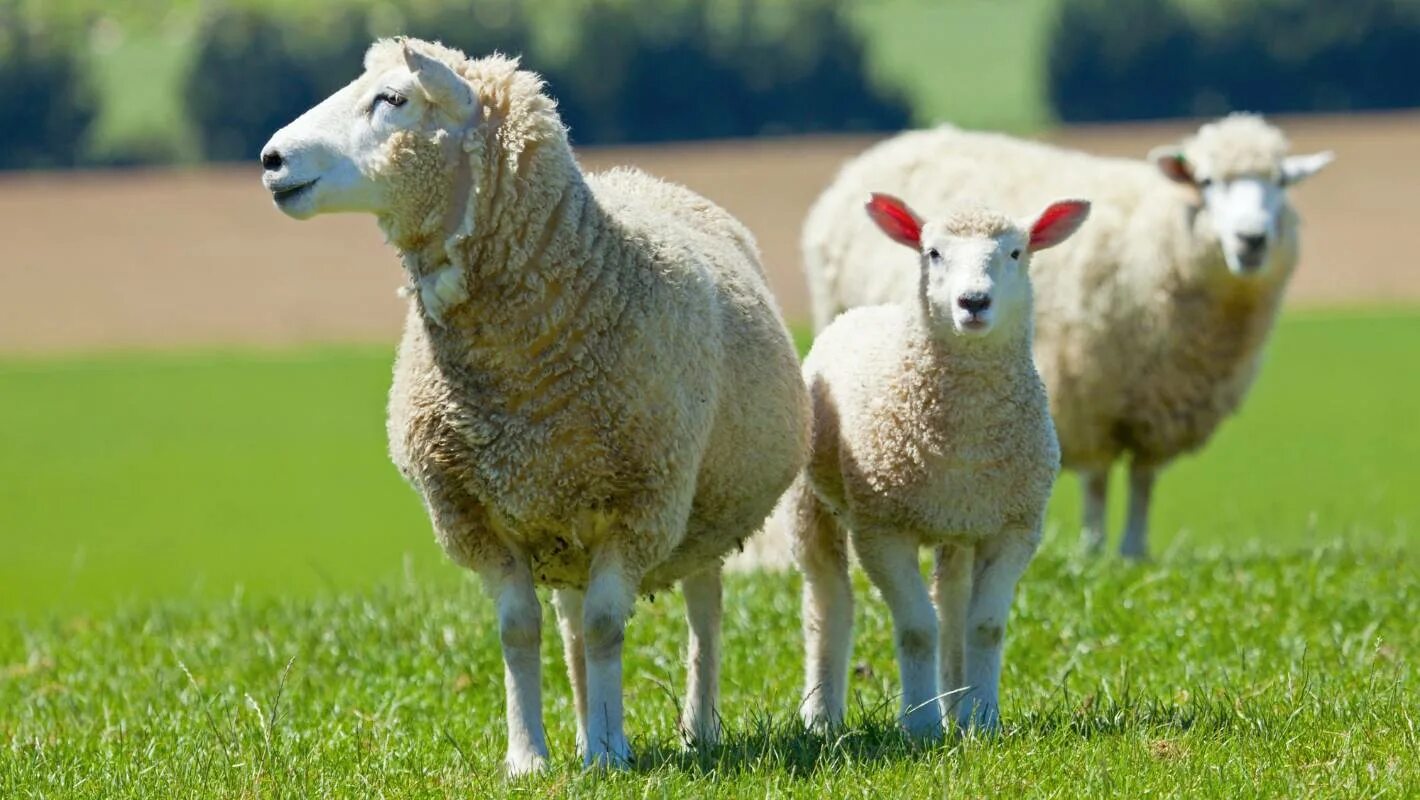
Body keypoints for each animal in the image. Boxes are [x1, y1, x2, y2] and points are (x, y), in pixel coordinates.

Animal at [259, 37, 810, 774]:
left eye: (392, 99)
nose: (271, 159)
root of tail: (640, 175)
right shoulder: (473, 516)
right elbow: (520, 631)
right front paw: (530, 757)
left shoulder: (642, 505)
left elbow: (608, 627)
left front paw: (610, 754)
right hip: (566, 515)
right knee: (573, 626)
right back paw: (582, 728)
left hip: (701, 511)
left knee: (702, 613)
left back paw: (696, 727)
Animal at [794, 192, 1087, 736]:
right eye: (932, 252)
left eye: (1016, 252)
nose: (973, 302)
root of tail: (864, 311)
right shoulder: (881, 530)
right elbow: (916, 629)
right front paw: (921, 725)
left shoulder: (1014, 527)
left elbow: (984, 626)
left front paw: (984, 719)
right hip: (812, 503)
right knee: (828, 601)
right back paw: (822, 718)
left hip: (959, 524)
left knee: (950, 604)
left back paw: (959, 708)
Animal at [802, 114, 1333, 559]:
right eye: (1206, 182)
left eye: (1281, 182)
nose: (1252, 240)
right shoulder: (1087, 389)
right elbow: (1097, 479)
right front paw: (1095, 551)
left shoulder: (1160, 403)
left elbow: (1143, 480)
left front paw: (1135, 551)